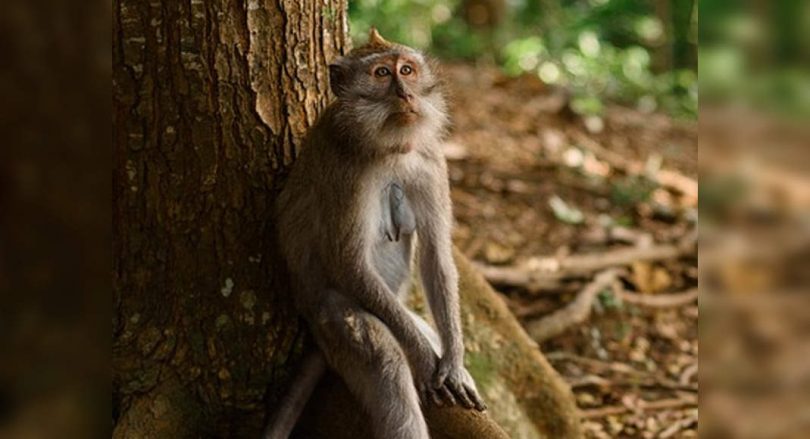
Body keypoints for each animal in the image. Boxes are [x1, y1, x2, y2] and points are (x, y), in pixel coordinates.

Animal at [265, 28, 486, 439]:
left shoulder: (431, 159)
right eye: (382, 73)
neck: (391, 145)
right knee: (386, 365)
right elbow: (348, 262)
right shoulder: (346, 171)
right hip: (331, 320)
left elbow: (436, 254)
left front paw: (454, 362)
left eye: (407, 70)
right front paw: (422, 356)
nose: (406, 94)